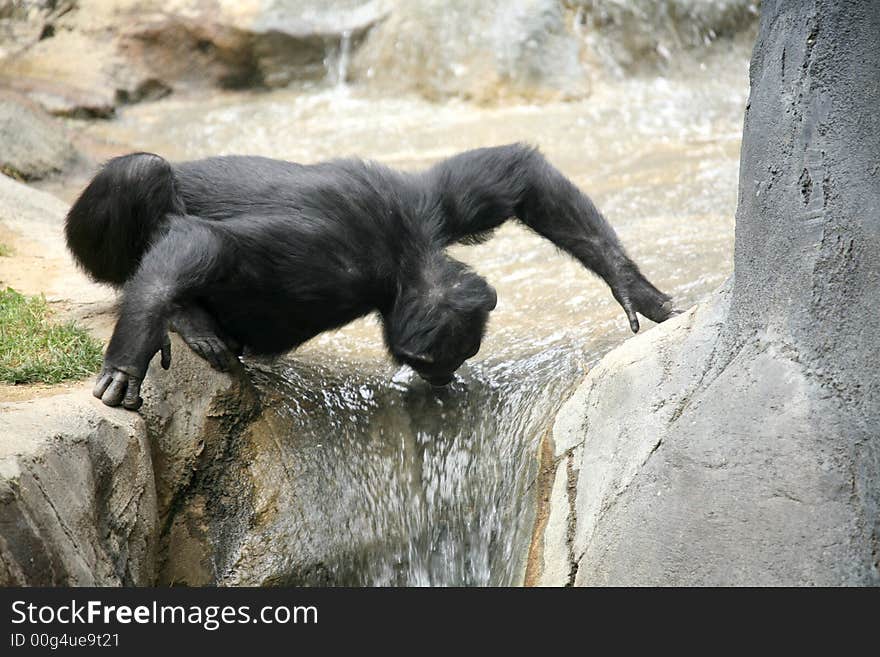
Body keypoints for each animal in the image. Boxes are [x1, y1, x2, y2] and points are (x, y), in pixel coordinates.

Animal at [65, 145, 676, 410]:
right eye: (446, 357)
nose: (444, 378)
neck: (405, 261)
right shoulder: (326, 261)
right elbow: (212, 244)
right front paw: (131, 356)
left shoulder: (436, 204)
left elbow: (517, 172)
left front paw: (635, 288)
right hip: (86, 240)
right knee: (144, 172)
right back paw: (185, 317)